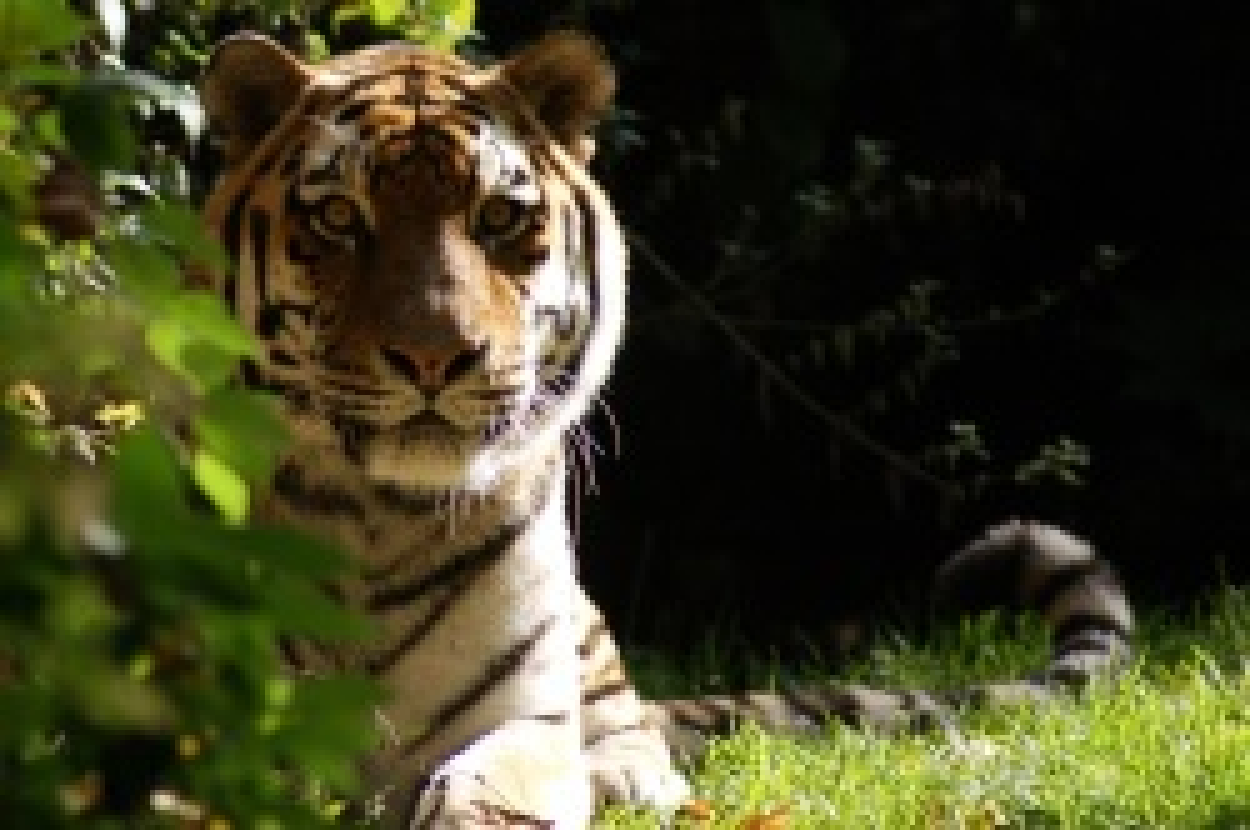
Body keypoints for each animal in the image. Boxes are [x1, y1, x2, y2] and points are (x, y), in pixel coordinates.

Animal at [198, 30, 1133, 828]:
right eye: (338, 219)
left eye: (498, 218)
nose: (436, 356)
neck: (380, 523)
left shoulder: (525, 717)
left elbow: (497, 791)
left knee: (638, 737)